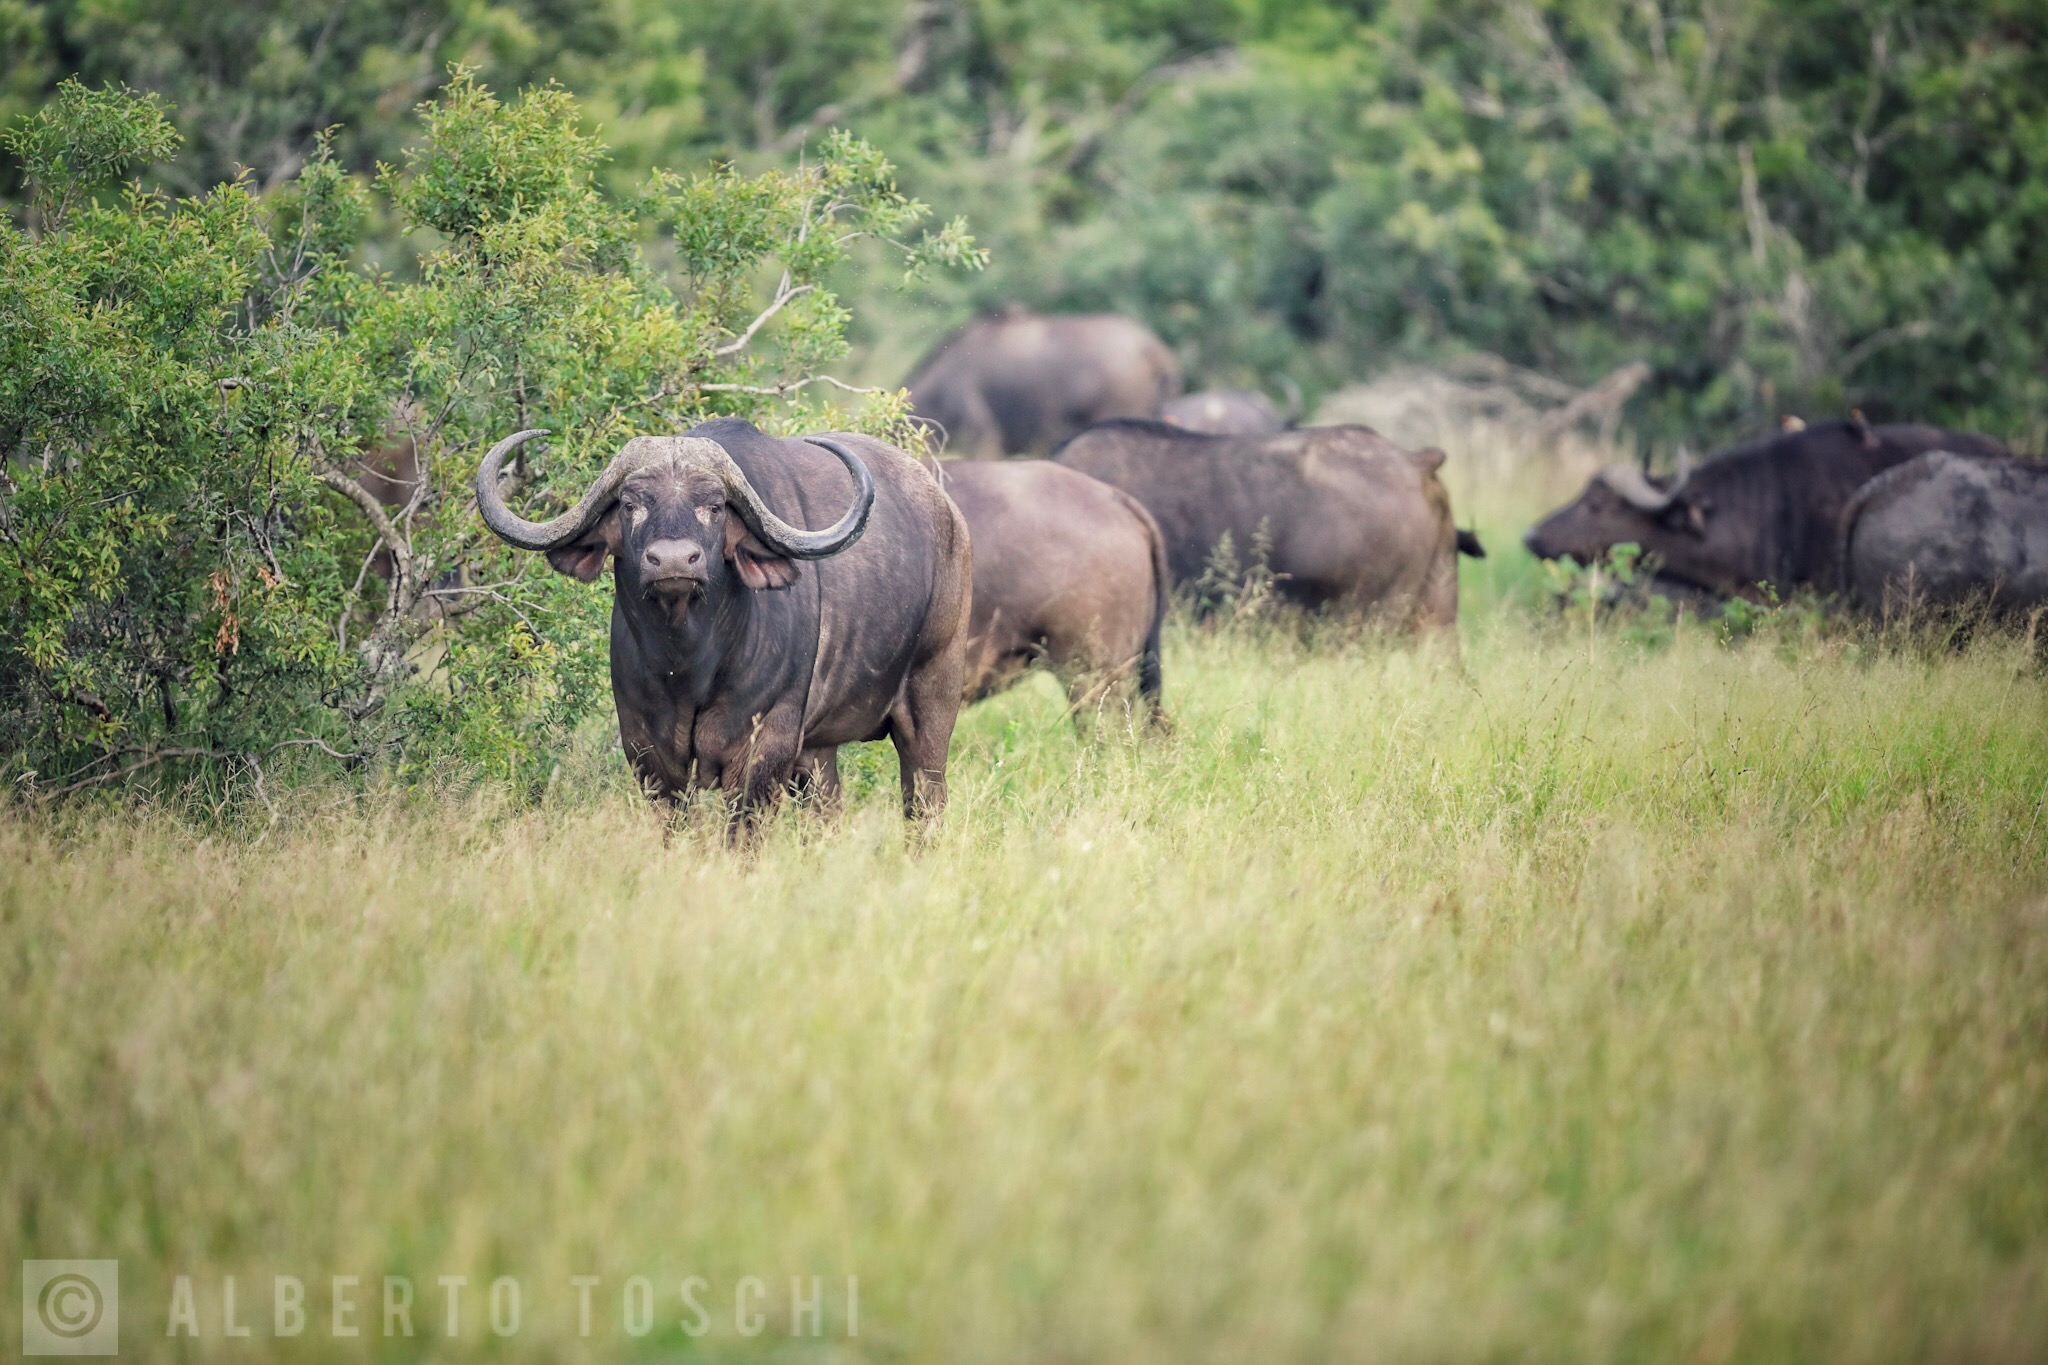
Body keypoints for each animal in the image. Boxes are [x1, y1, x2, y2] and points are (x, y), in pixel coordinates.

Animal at [476, 418, 973, 820]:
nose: (674, 560)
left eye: (714, 506)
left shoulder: (763, 749)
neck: (688, 665)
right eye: (631, 504)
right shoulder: (647, 750)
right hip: (817, 750)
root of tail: (950, 516)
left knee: (924, 801)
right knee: (824, 811)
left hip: (932, 705)